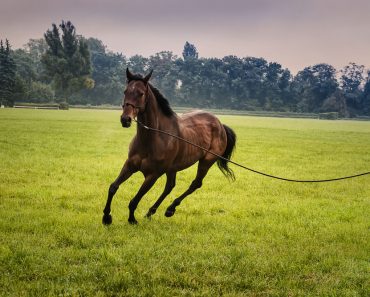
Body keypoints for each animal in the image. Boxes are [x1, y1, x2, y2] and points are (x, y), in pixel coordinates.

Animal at [102, 68, 236, 223]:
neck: (152, 139)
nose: (125, 119)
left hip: (206, 162)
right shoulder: (130, 165)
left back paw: (170, 209)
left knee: (195, 184)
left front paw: (132, 220)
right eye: (125, 91)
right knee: (170, 186)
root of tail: (220, 125)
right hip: (173, 168)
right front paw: (106, 217)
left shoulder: (153, 175)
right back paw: (151, 212)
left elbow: (135, 199)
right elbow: (113, 187)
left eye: (141, 93)